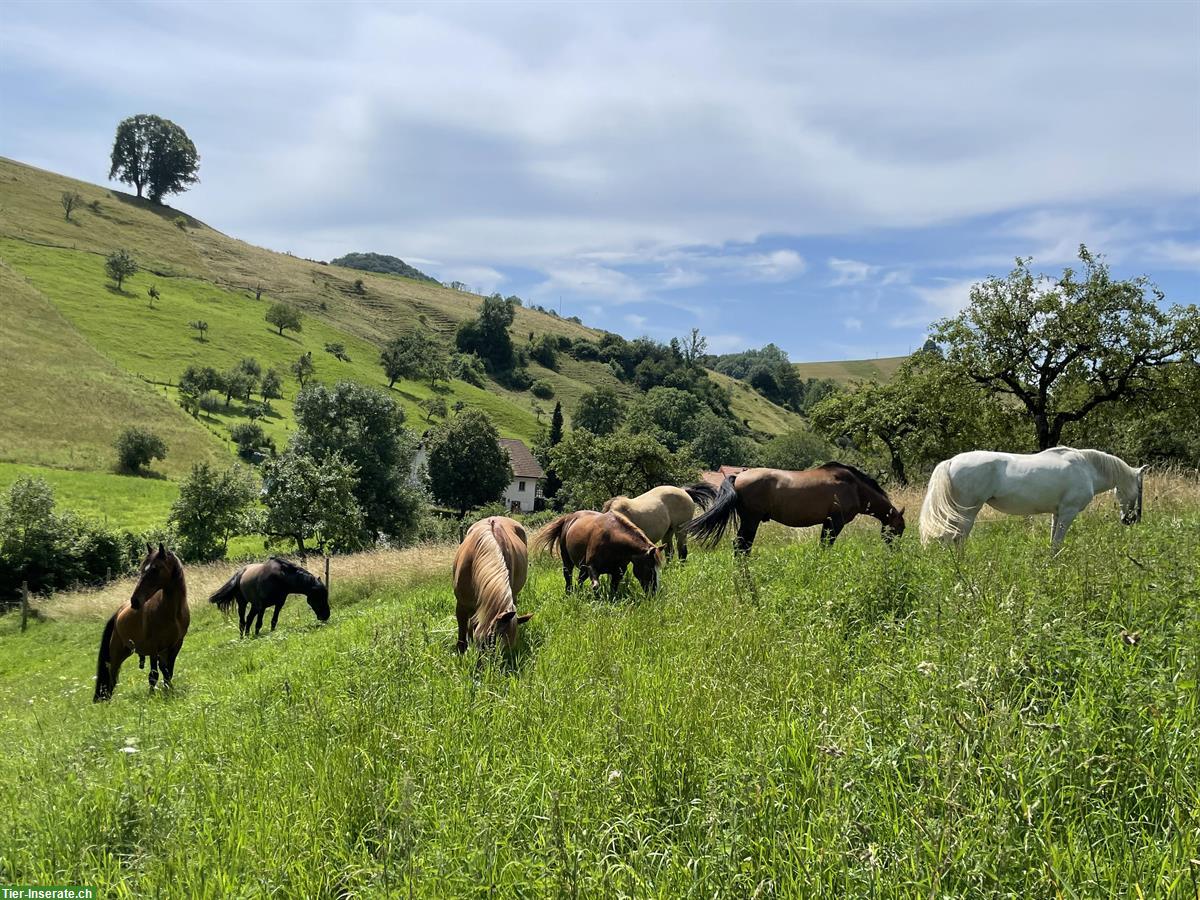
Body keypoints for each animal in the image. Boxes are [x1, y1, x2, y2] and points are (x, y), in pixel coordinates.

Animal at [93, 542, 188, 705]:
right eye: (142, 568)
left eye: (155, 569)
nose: (135, 601)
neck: (172, 613)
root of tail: (118, 613)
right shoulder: (154, 649)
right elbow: (154, 675)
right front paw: (152, 697)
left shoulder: (175, 645)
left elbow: (168, 672)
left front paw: (169, 691)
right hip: (117, 653)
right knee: (112, 676)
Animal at [535, 511, 667, 595]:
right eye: (650, 569)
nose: (654, 593)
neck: (612, 540)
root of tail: (568, 518)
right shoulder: (592, 567)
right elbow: (596, 587)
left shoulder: (618, 571)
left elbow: (613, 588)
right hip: (567, 560)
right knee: (568, 576)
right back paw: (569, 593)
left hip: (583, 567)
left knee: (580, 579)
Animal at [686, 465, 902, 556]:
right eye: (900, 529)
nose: (896, 552)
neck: (855, 487)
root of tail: (738, 477)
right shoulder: (835, 522)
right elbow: (827, 545)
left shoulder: (827, 522)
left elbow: (823, 545)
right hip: (751, 520)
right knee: (741, 546)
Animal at [916, 448, 1142, 554]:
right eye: (1139, 489)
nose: (1130, 520)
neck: (1087, 468)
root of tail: (951, 461)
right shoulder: (1068, 513)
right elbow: (1058, 541)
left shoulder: (1057, 513)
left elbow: (1053, 541)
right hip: (967, 512)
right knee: (956, 538)